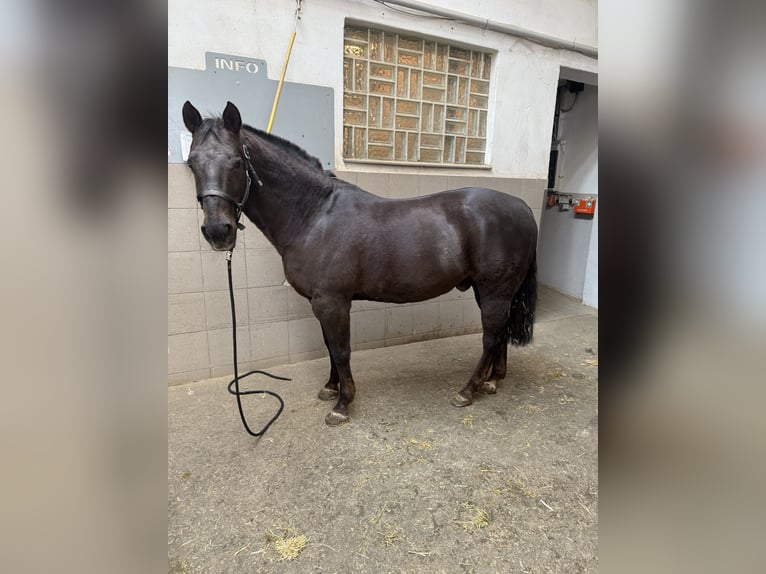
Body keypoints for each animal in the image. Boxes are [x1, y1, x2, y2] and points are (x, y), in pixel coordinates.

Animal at [181, 101, 538, 426]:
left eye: (236, 162)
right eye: (191, 163)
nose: (218, 232)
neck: (314, 215)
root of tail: (522, 207)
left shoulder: (333, 302)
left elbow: (341, 350)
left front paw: (342, 404)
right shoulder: (320, 302)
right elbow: (329, 345)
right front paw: (330, 388)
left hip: (493, 290)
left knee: (491, 336)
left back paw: (468, 390)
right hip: (488, 290)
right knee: (500, 331)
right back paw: (493, 381)